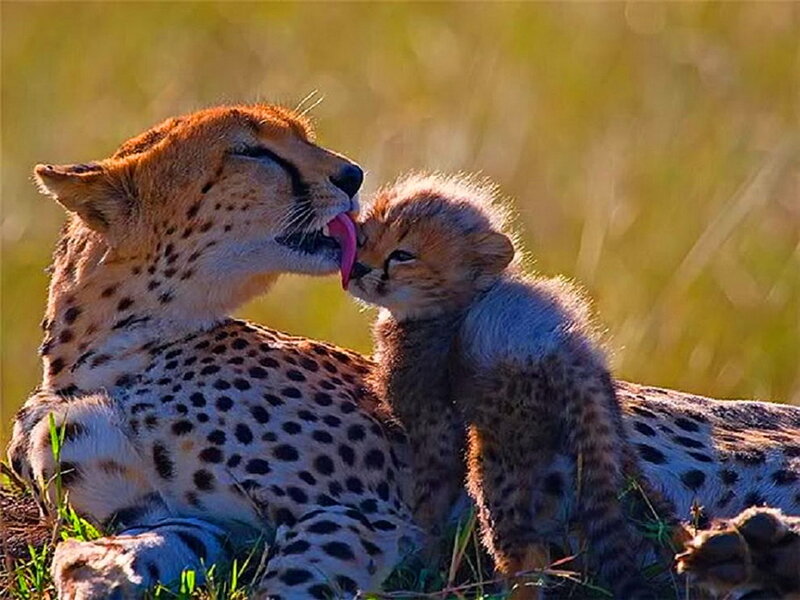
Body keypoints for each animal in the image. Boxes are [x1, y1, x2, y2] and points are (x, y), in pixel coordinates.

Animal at [346, 173, 653, 599]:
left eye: (403, 255)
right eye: (363, 237)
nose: (358, 267)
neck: (449, 308)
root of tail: (563, 351)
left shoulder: (437, 433)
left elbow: (428, 506)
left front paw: (419, 559)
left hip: (498, 455)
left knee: (527, 552)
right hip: (610, 440)